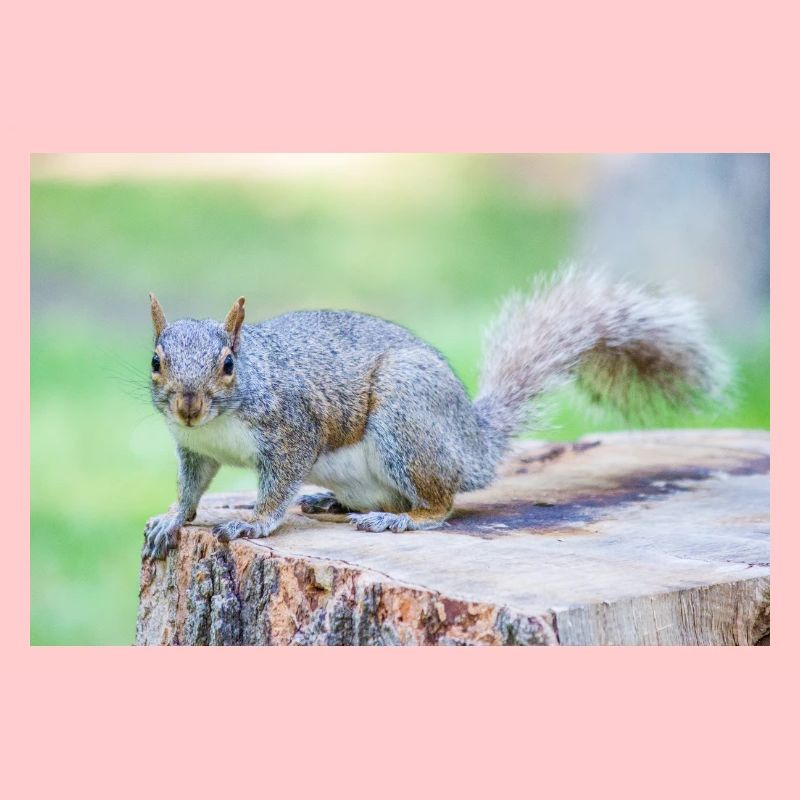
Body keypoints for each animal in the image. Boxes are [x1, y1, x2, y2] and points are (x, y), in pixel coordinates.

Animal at [143, 268, 729, 559]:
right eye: (155, 361)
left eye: (228, 364)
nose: (188, 405)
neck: (219, 424)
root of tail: (473, 443)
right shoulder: (193, 449)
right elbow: (192, 489)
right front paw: (172, 519)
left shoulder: (293, 431)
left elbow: (277, 485)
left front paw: (254, 523)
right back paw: (331, 502)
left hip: (407, 420)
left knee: (441, 504)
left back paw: (400, 518)